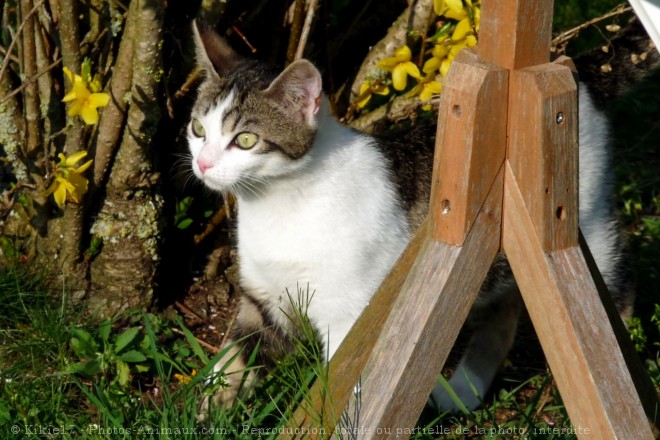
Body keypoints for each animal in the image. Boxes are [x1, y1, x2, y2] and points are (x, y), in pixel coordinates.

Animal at [187, 24, 636, 412]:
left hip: (584, 232)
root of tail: (577, 72)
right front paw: (211, 406)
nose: (203, 164)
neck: (277, 204)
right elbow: (233, 356)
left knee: (616, 298)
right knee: (502, 311)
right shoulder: (264, 298)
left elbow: (344, 384)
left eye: (246, 140)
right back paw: (465, 390)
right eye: (197, 129)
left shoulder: (349, 313)